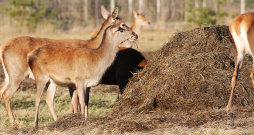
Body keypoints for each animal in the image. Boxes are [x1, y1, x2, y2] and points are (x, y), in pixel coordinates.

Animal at [0, 5, 129, 127]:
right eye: (123, 24)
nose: (133, 34)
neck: (93, 47)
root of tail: (2, 48)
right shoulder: (76, 81)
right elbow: (76, 100)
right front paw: (76, 116)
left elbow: (84, 100)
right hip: (17, 73)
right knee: (7, 95)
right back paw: (14, 123)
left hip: (9, 76)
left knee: (2, 92)